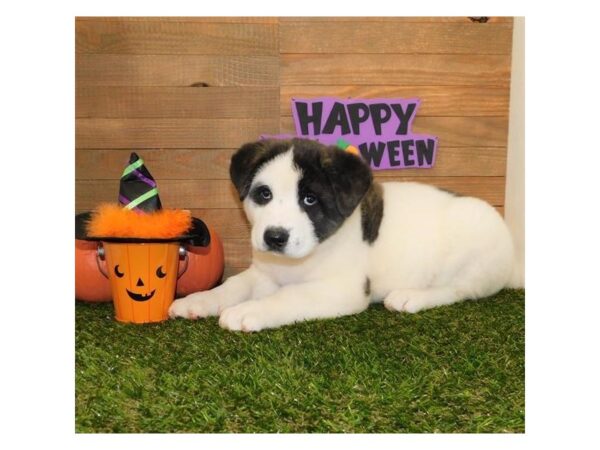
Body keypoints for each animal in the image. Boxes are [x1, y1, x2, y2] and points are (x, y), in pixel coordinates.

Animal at [169, 139, 520, 332]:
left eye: (310, 200)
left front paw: (249, 311)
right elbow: (232, 285)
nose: (275, 237)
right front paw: (198, 301)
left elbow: (289, 296)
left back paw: (411, 297)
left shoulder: (341, 289)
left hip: (471, 253)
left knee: (456, 291)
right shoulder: (263, 273)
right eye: (264, 195)